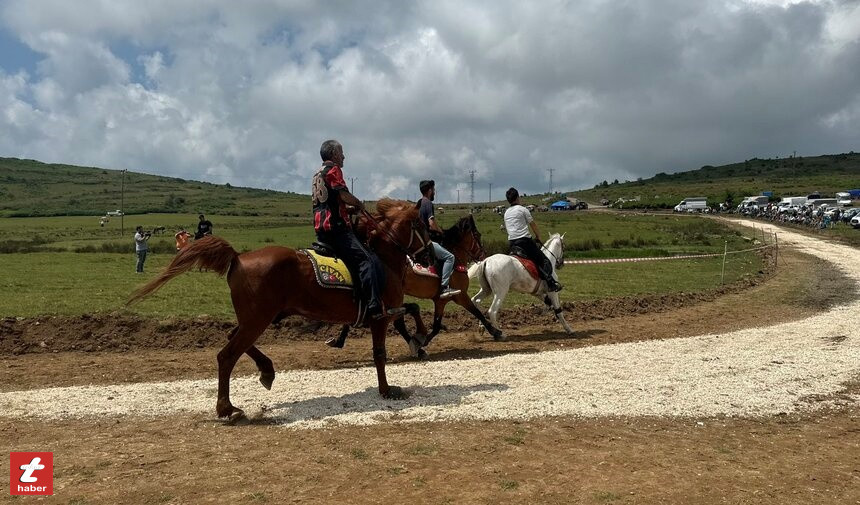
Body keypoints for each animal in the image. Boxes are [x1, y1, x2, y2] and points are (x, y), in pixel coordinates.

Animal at [128, 198, 434, 422]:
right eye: (421, 223)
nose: (430, 254)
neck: (383, 258)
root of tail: (238, 258)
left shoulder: (384, 312)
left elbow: (412, 309)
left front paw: (418, 339)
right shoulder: (382, 314)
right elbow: (382, 351)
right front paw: (389, 386)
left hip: (254, 319)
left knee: (233, 340)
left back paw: (266, 371)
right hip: (257, 320)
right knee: (227, 355)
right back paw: (227, 408)